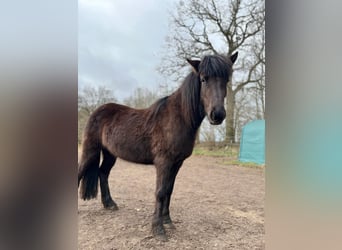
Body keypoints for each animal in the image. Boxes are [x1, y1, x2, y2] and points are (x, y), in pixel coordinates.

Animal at [77, 51, 238, 239]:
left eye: (226, 80)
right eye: (204, 79)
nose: (217, 115)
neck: (179, 117)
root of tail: (96, 111)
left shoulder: (177, 163)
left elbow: (169, 190)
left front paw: (168, 221)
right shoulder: (164, 162)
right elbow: (160, 192)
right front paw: (158, 229)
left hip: (110, 153)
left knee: (103, 173)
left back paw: (110, 204)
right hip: (90, 150)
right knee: (81, 172)